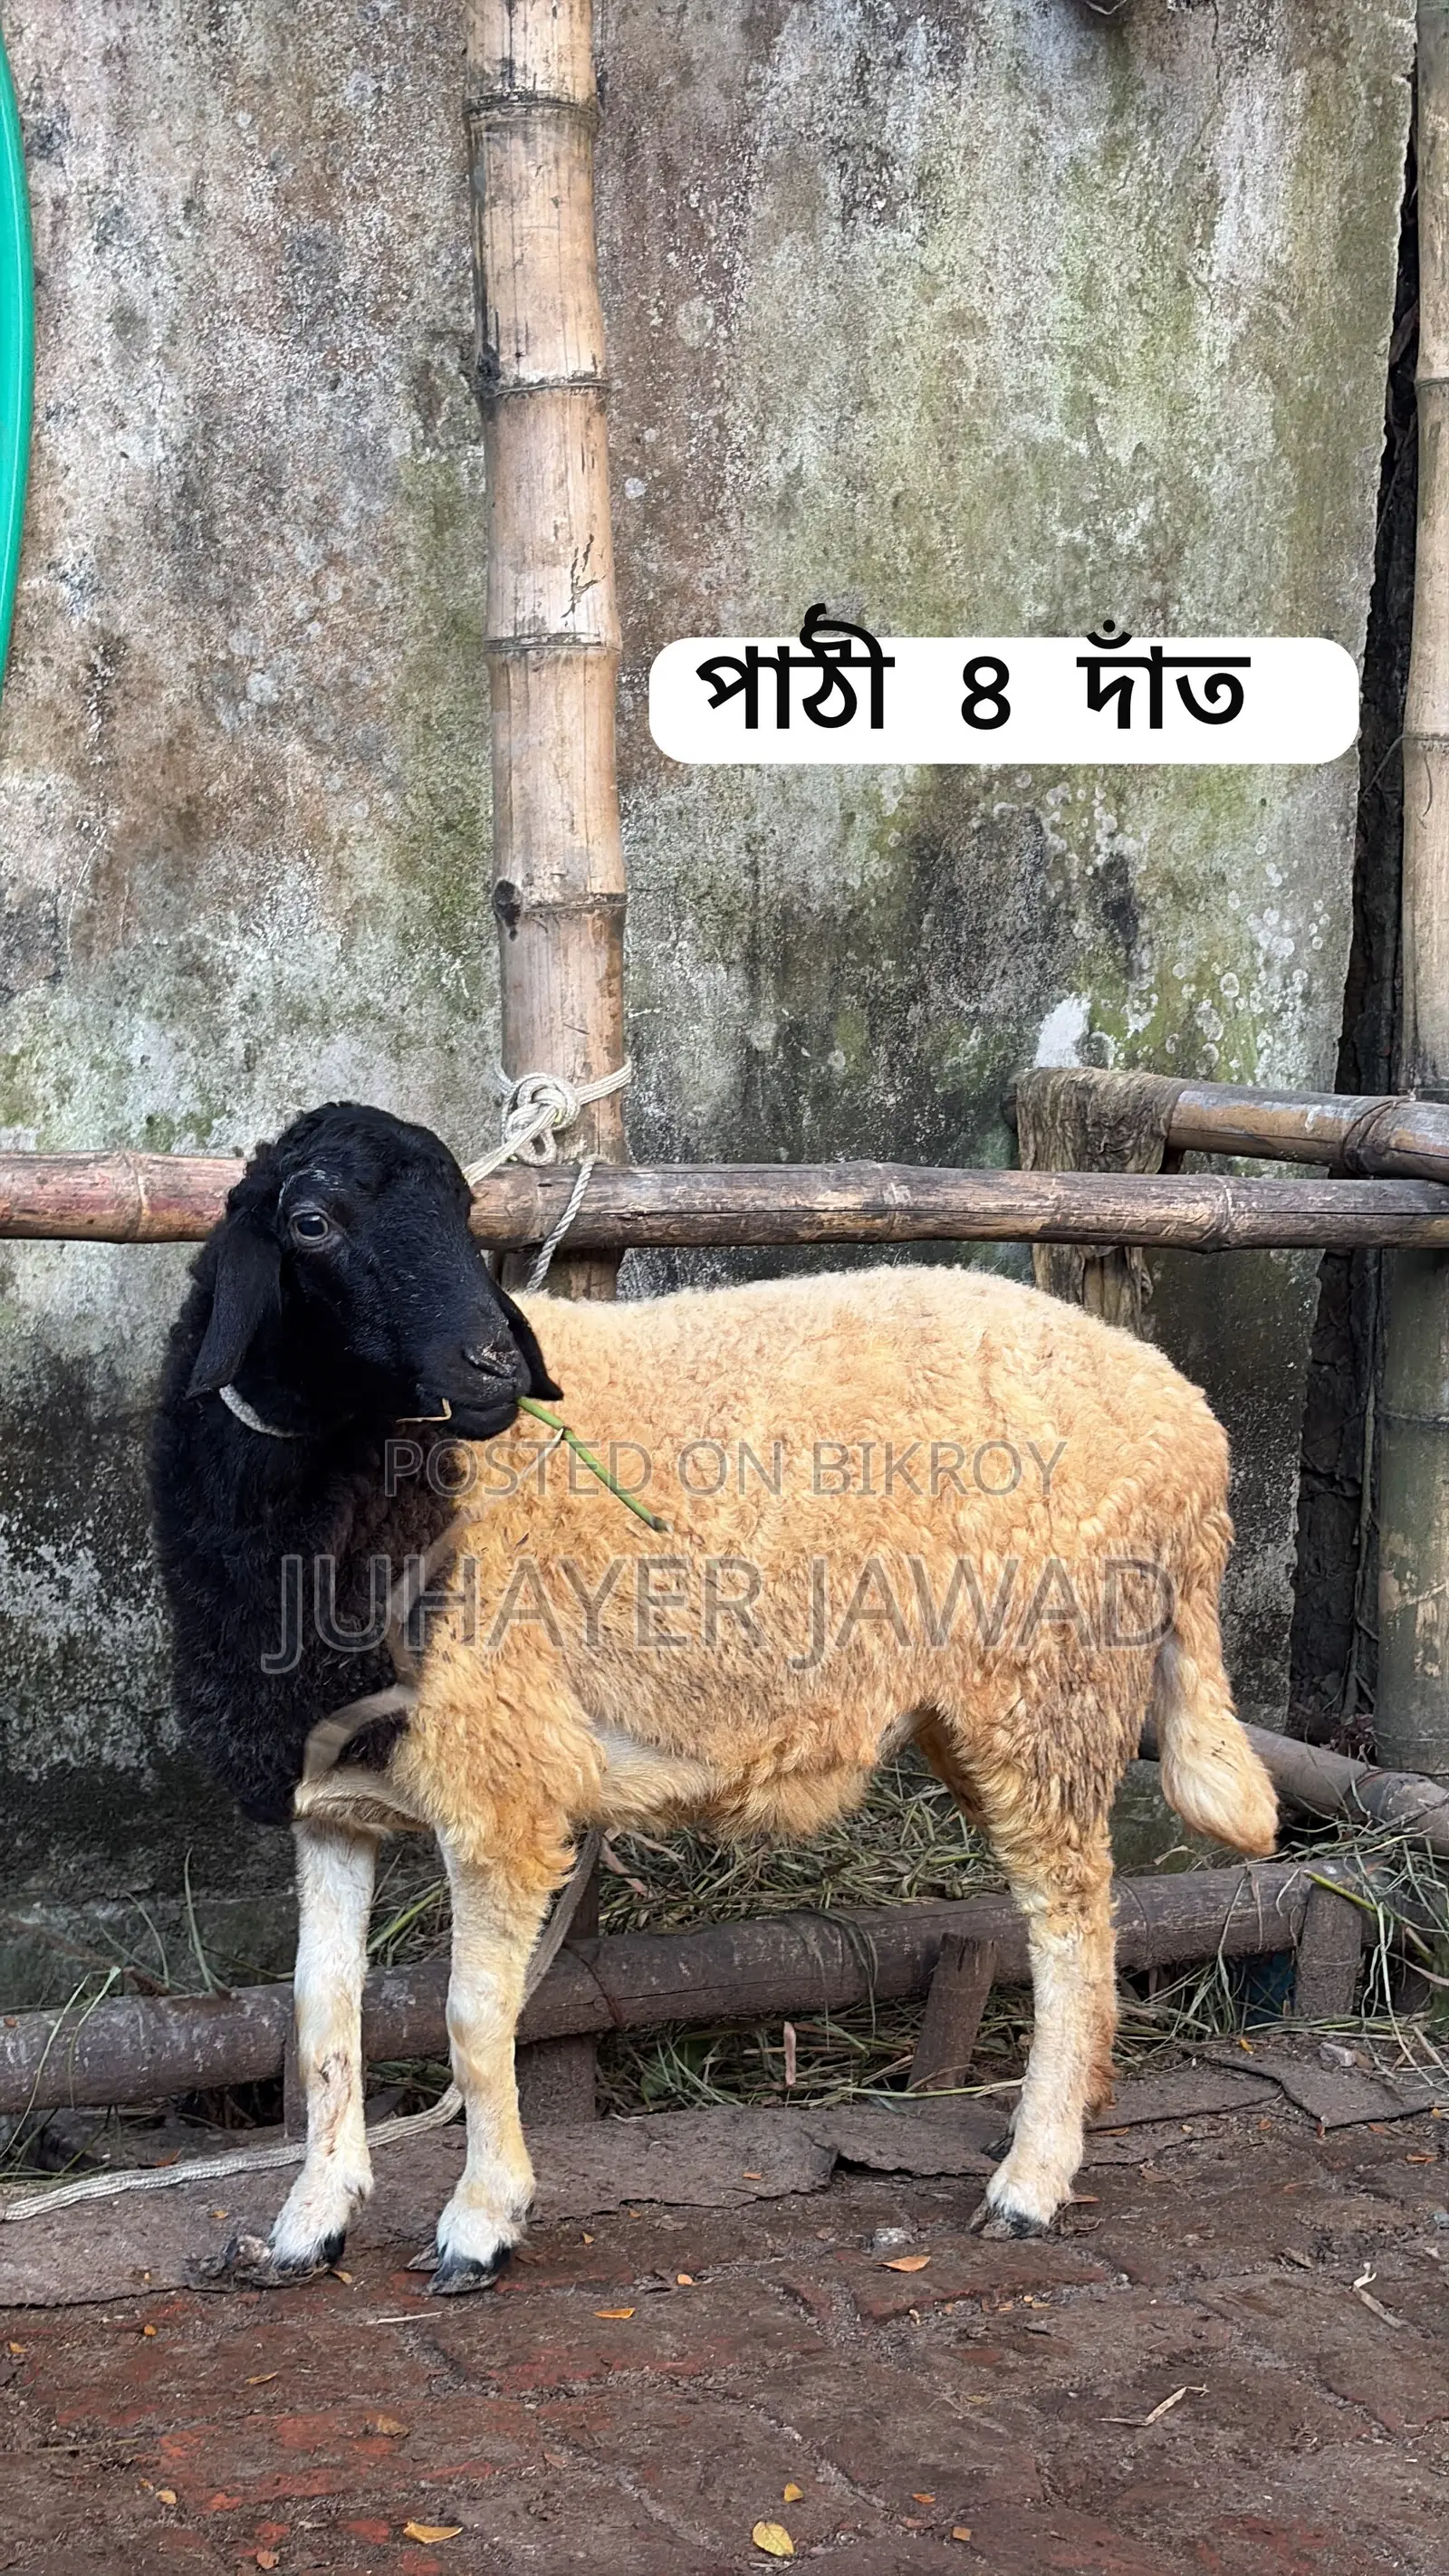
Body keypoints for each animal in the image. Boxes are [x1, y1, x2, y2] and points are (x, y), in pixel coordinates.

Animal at [152, 1100, 1277, 2294]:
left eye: (465, 1211)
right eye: (311, 1222)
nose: (495, 1363)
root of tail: (1189, 1422)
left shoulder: (502, 1782)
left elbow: (470, 2020)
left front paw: (482, 2219)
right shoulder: (332, 1802)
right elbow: (322, 2015)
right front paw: (309, 2220)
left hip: (1050, 1683)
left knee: (1070, 1917)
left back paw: (1033, 2175)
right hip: (998, 1705)